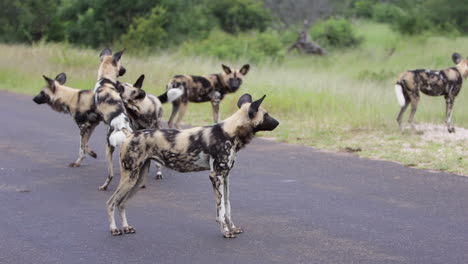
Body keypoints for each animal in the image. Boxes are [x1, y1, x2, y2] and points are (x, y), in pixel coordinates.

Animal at [93, 48, 132, 191]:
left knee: (111, 175)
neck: (106, 80)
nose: (125, 69)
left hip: (108, 149)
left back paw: (104, 187)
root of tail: (123, 128)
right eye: (121, 65)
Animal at [106, 93, 278, 237]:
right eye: (266, 114)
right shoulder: (216, 176)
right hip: (129, 178)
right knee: (111, 202)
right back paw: (114, 229)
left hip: (137, 180)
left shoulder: (225, 177)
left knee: (121, 203)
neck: (230, 132)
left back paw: (126, 227)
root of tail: (130, 135)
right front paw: (225, 231)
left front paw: (233, 228)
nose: (278, 122)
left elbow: (227, 206)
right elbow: (221, 209)